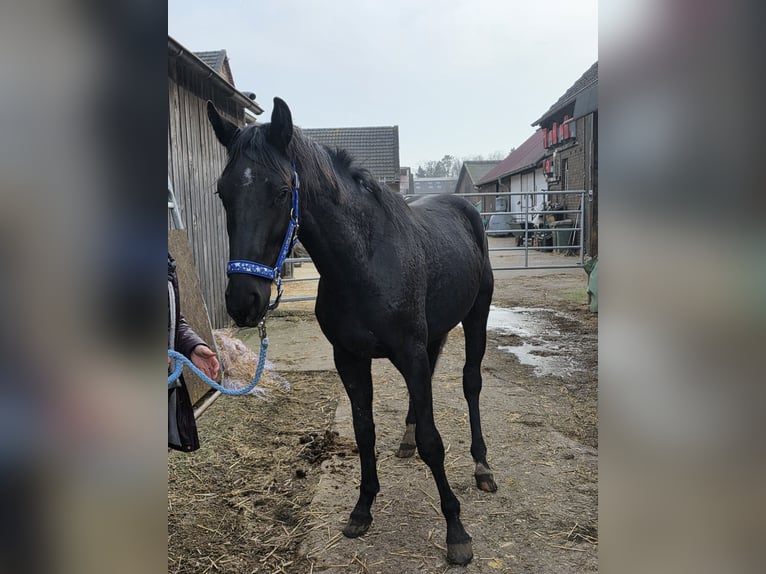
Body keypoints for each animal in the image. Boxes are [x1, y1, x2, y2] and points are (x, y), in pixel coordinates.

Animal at [207, 97, 496, 565]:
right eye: (223, 192)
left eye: (282, 191)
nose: (243, 301)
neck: (365, 261)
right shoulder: (350, 359)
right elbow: (364, 432)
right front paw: (362, 509)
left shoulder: (408, 352)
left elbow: (434, 441)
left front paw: (456, 530)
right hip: (434, 333)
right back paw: (407, 442)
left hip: (476, 317)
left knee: (471, 383)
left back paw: (483, 467)